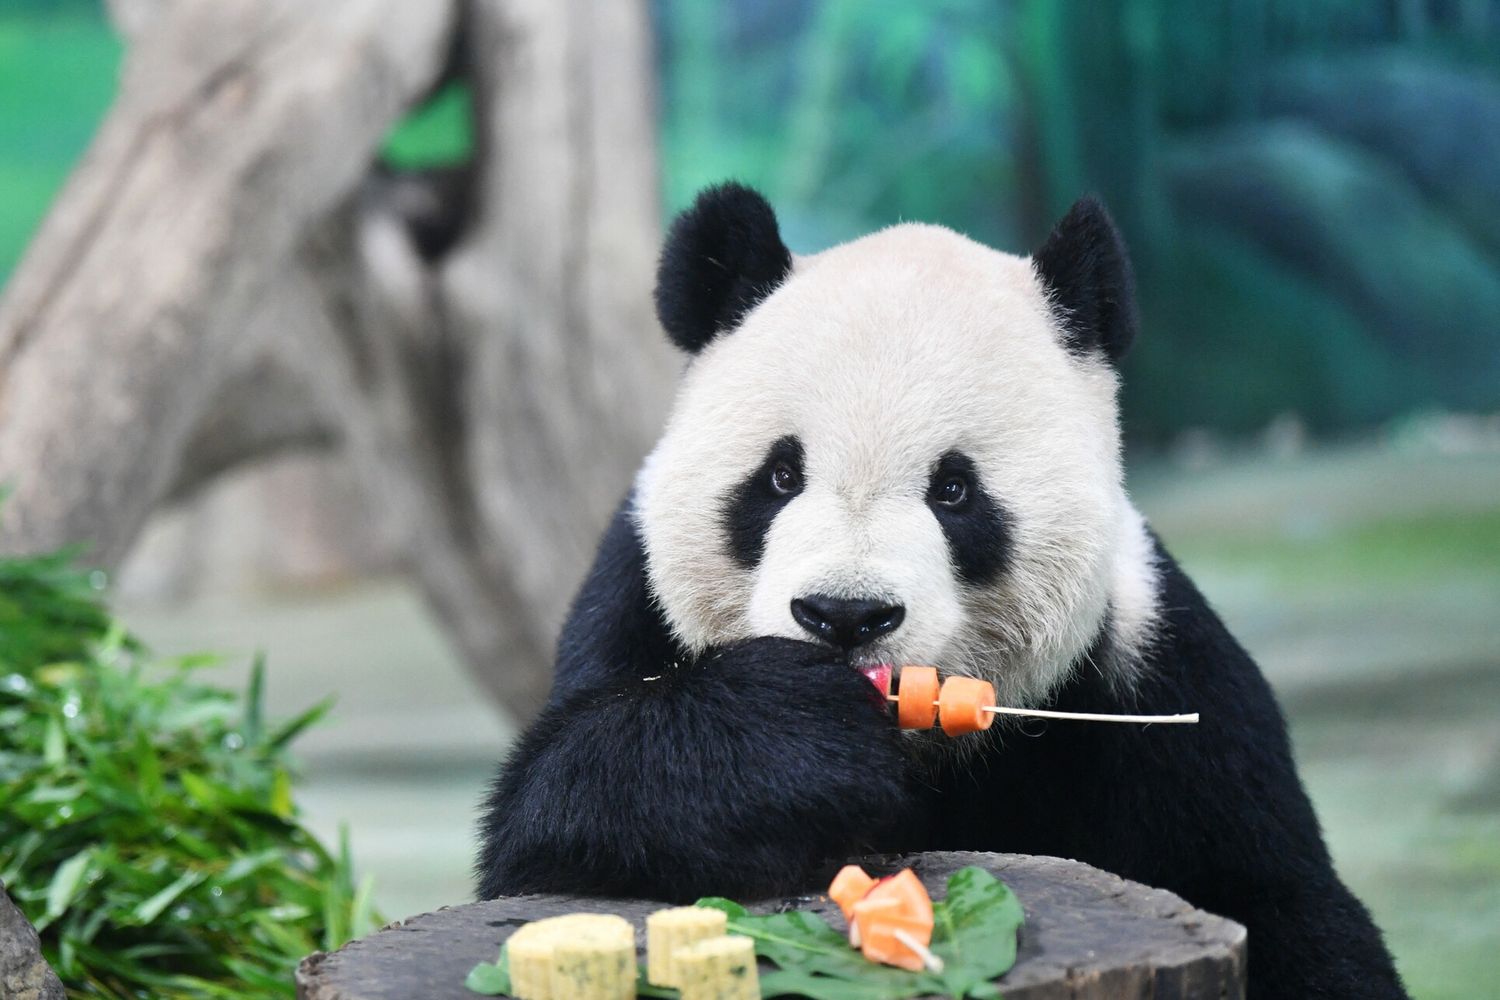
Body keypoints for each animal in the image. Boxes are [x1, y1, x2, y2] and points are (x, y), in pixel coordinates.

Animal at [476, 184, 1407, 999]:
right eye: (779, 477)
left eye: (955, 492)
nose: (846, 616)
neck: (921, 751)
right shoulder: (630, 602)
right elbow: (549, 815)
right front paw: (796, 739)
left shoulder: (1155, 670)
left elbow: (1285, 906)